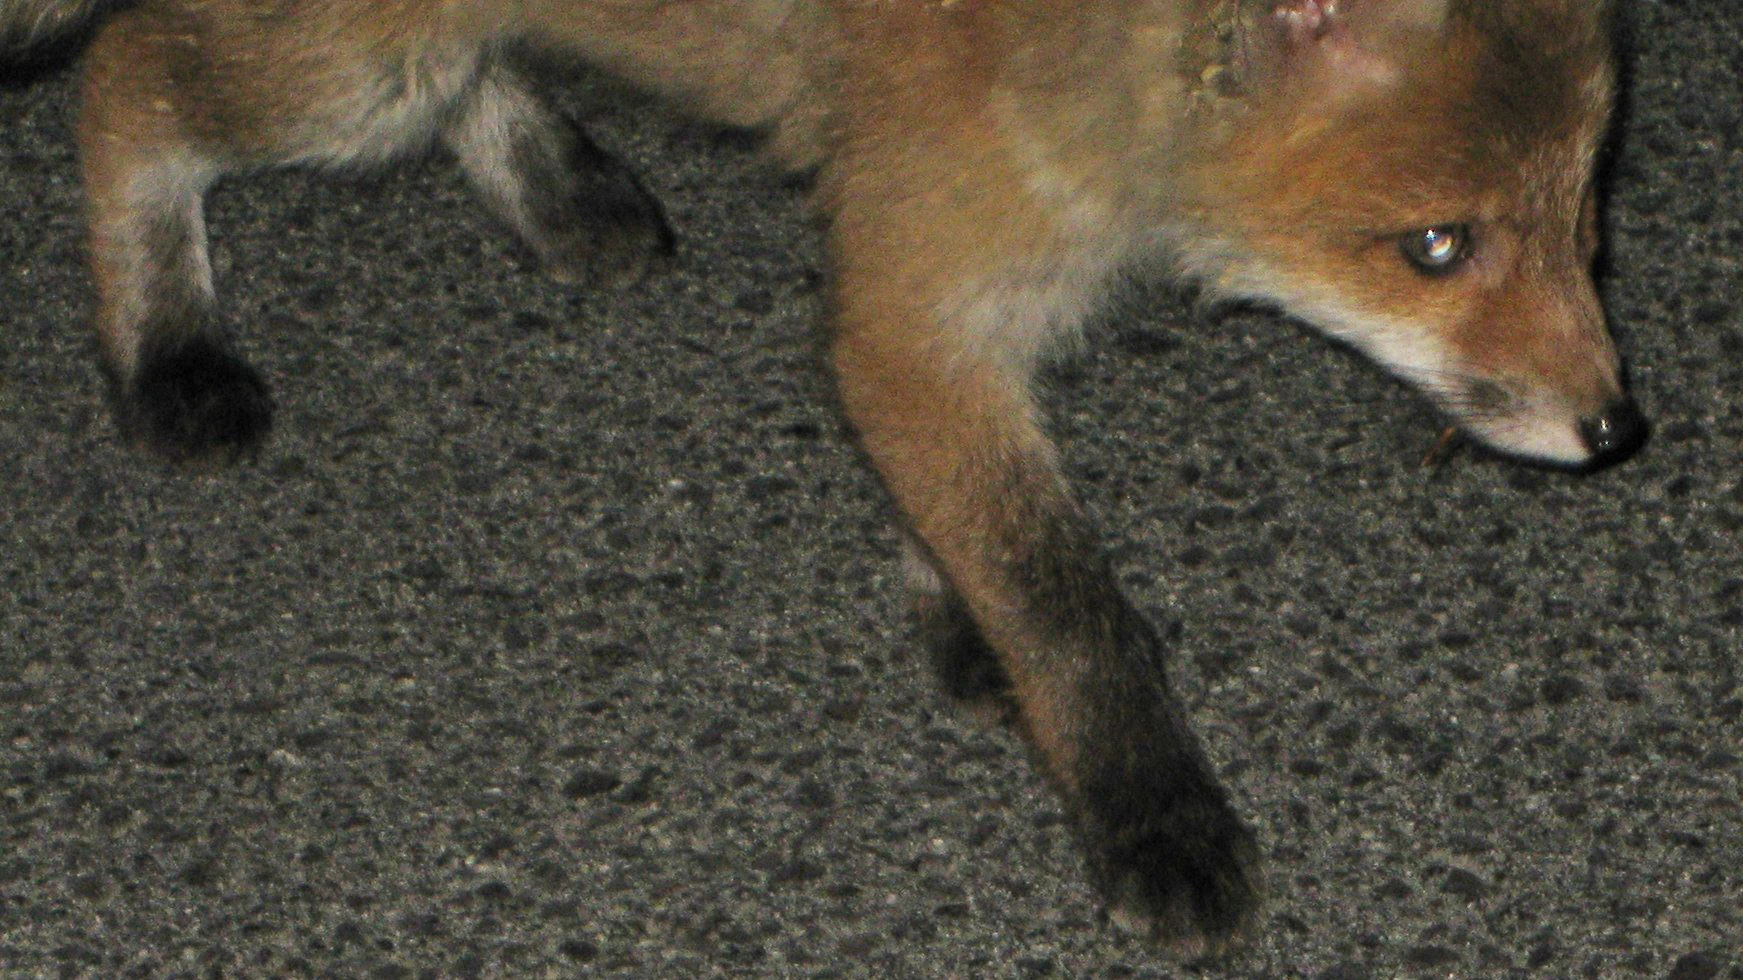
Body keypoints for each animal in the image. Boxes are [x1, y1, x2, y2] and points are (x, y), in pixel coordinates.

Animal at [1, 0, 1644, 956]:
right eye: (1435, 245)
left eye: (1587, 213)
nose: (1616, 431)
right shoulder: (914, 295)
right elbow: (1069, 605)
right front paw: (1150, 811)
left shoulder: (936, 310)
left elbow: (969, 522)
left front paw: (960, 626)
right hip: (352, 81)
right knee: (123, 82)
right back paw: (165, 353)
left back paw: (557, 187)